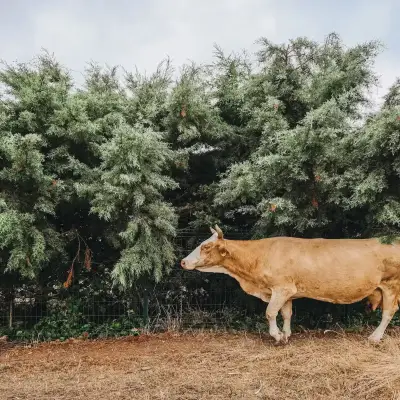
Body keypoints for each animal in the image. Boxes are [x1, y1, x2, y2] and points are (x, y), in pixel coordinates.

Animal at [180, 227, 400, 342]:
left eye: (206, 246)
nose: (182, 261)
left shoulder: (281, 288)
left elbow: (270, 312)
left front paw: (277, 336)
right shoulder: (288, 292)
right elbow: (286, 313)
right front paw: (286, 334)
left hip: (391, 285)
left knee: (388, 312)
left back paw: (375, 337)